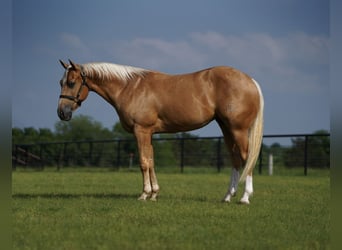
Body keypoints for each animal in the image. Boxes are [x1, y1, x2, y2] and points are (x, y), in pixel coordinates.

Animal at [57, 59, 264, 204]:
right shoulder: (149, 133)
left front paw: (144, 194)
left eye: (72, 82)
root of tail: (250, 81)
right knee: (235, 160)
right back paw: (227, 196)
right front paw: (154, 194)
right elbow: (151, 161)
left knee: (246, 158)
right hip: (227, 129)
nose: (62, 112)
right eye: (61, 82)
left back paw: (245, 198)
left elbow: (143, 162)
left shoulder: (141, 131)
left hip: (238, 130)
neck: (129, 87)